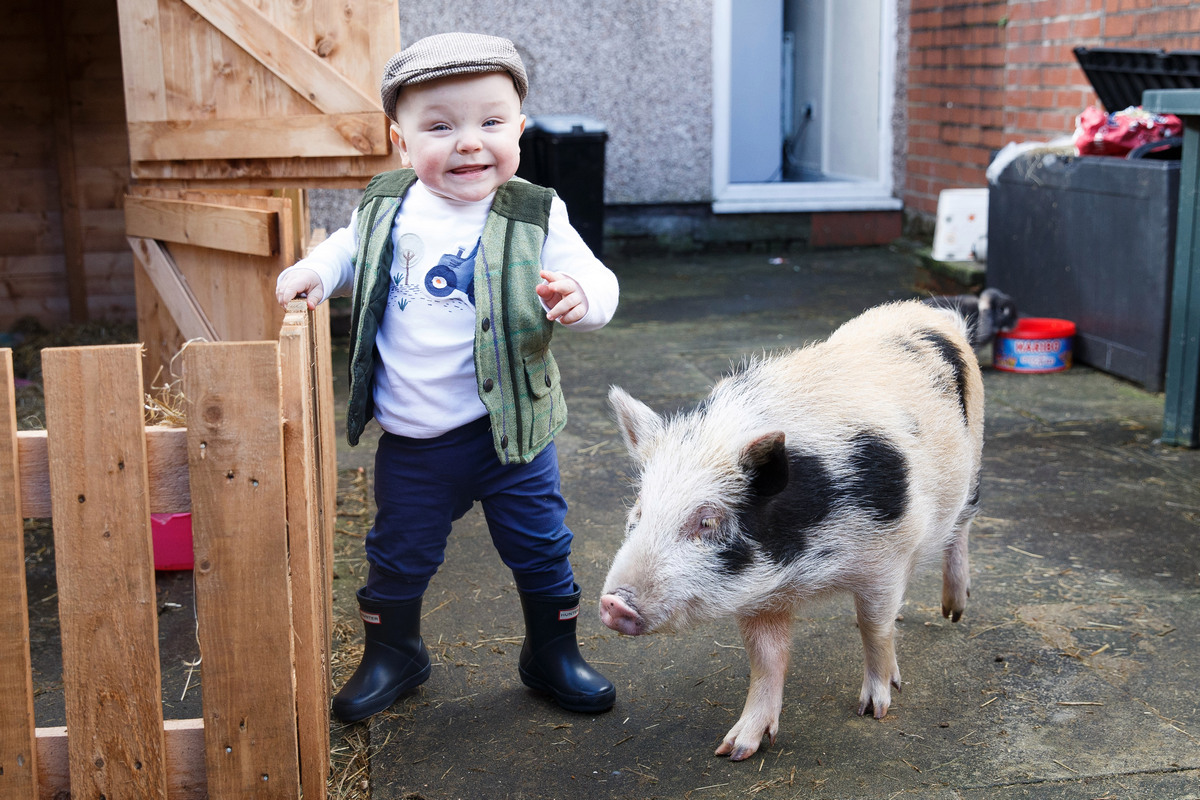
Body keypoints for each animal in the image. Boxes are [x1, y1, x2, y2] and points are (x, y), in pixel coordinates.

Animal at [600, 299, 984, 762]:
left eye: (707, 521)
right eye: (638, 513)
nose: (612, 602)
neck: (806, 563)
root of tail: (932, 312)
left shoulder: (885, 558)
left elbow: (873, 628)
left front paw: (874, 709)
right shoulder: (757, 591)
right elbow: (766, 658)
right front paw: (735, 750)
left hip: (974, 455)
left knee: (962, 526)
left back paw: (953, 611)